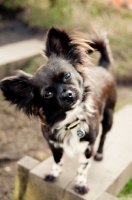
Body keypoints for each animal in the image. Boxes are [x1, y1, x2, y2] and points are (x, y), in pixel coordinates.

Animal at [0, 26, 116, 194]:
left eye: (67, 75)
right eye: (47, 94)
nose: (67, 95)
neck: (70, 120)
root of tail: (103, 67)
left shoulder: (88, 146)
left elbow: (82, 167)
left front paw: (81, 184)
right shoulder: (53, 144)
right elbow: (57, 160)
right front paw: (54, 174)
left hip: (109, 116)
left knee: (104, 136)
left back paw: (99, 153)